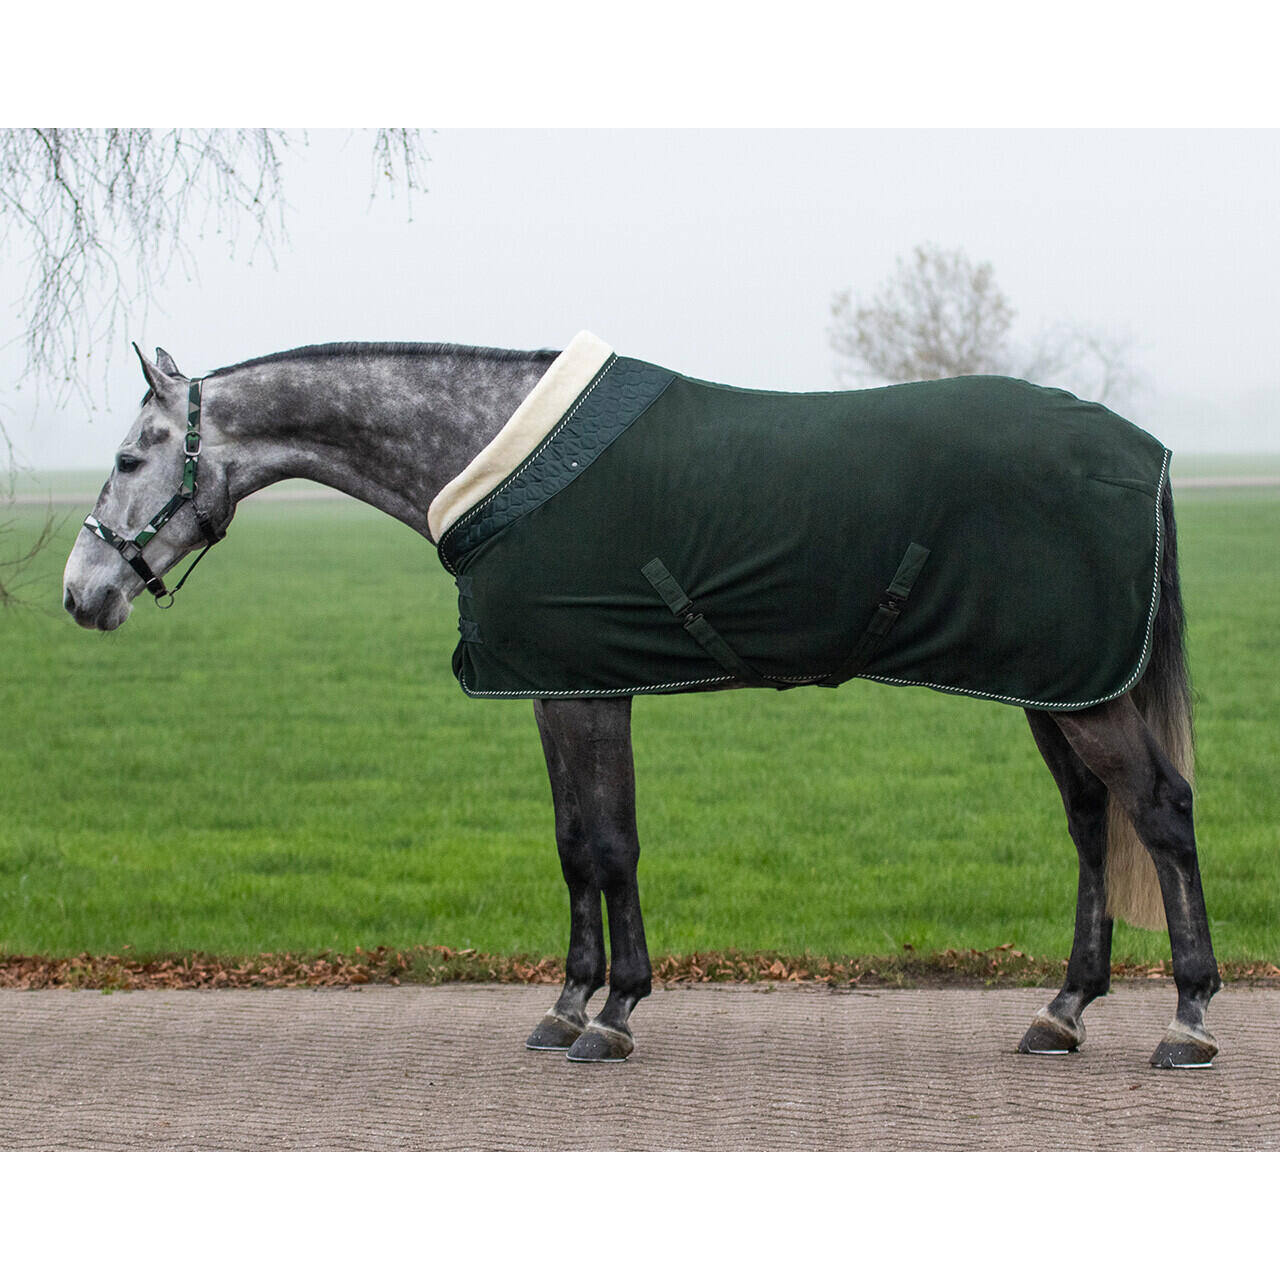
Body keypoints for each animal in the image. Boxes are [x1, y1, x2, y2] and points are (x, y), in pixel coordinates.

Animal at [61, 336, 1222, 1069]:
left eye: (126, 455)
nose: (83, 593)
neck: (499, 457)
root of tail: (1145, 450)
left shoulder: (593, 692)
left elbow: (612, 843)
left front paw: (613, 1014)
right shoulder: (557, 687)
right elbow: (575, 844)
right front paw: (567, 1001)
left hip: (1081, 692)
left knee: (1160, 812)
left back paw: (1188, 1018)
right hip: (1053, 684)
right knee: (1091, 824)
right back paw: (1062, 1011)